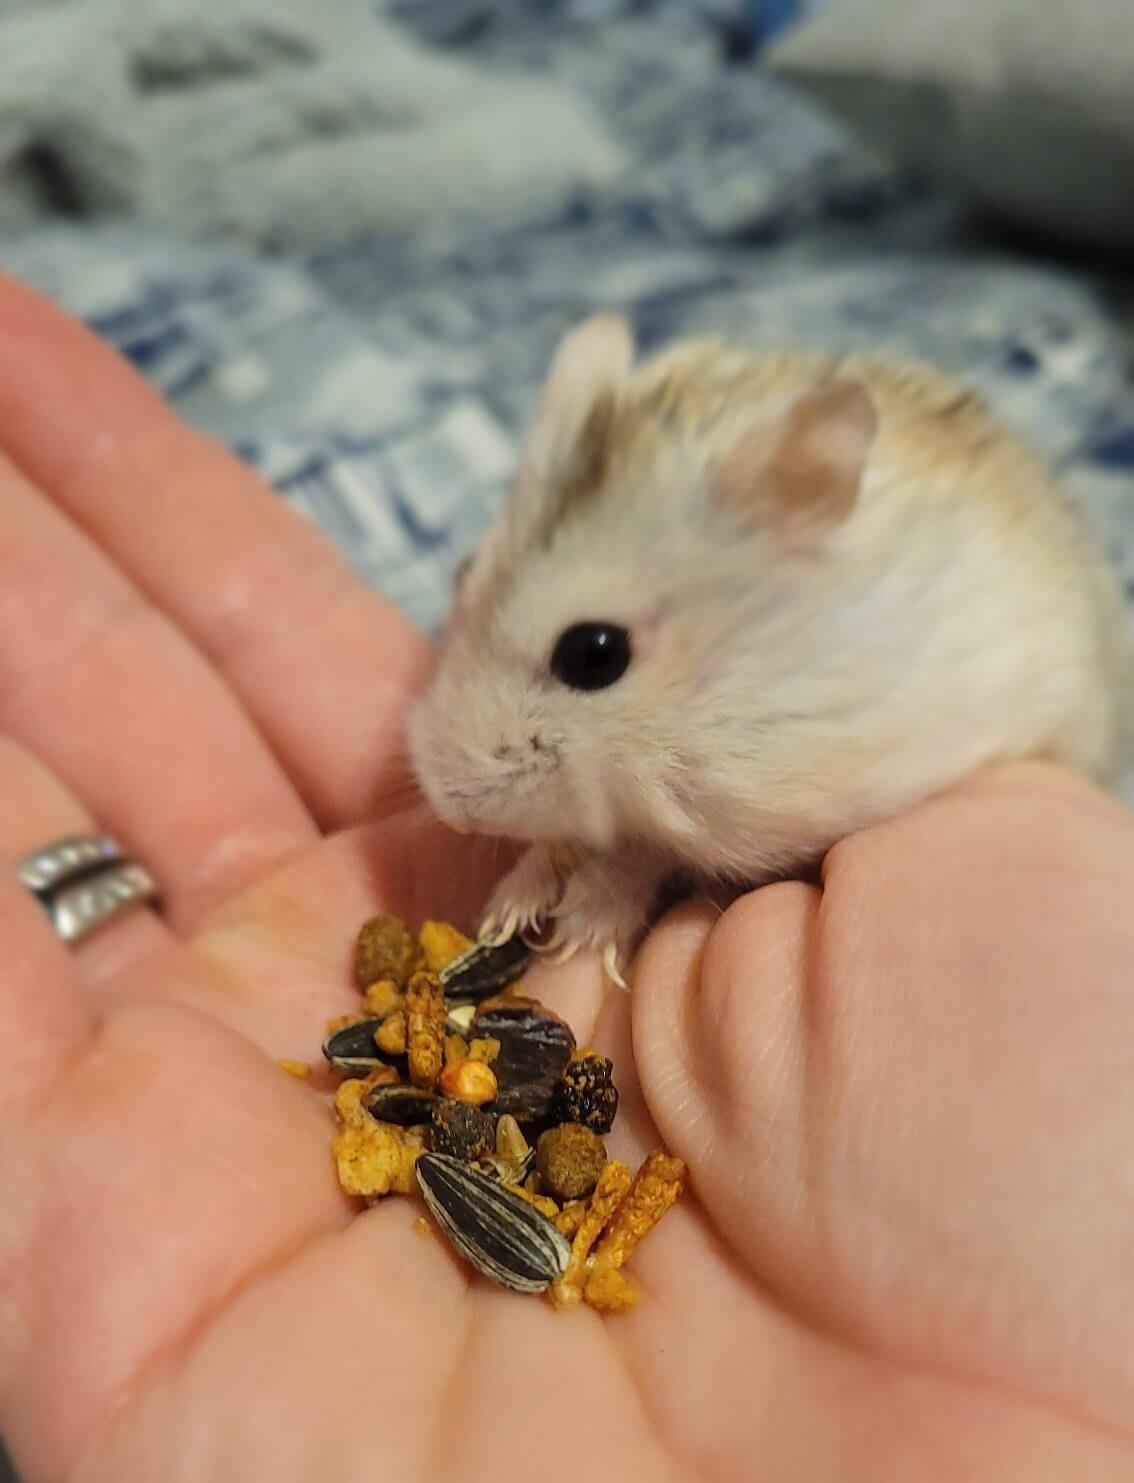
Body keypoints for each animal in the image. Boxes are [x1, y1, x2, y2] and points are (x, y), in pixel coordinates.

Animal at [409, 314, 1133, 986]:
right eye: (464, 571)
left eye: (594, 653)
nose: (450, 808)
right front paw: (508, 911)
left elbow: (643, 853)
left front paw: (582, 932)